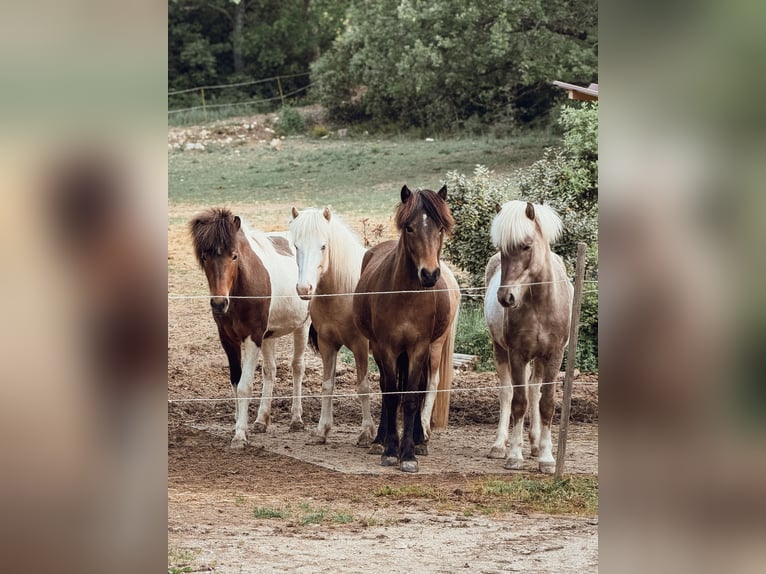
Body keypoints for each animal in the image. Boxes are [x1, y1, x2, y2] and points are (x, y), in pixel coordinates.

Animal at [189, 208, 310, 449]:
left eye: (234, 255)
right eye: (205, 256)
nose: (219, 303)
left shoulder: (252, 337)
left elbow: (245, 385)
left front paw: (239, 436)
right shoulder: (228, 339)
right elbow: (236, 383)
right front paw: (240, 424)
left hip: (302, 325)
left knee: (297, 367)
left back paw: (296, 419)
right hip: (269, 335)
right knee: (270, 370)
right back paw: (261, 421)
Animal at [287, 206, 375, 447]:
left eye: (323, 246)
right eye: (296, 246)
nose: (304, 288)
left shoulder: (360, 347)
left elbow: (363, 388)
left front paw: (366, 433)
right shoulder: (328, 345)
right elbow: (327, 386)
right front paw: (322, 430)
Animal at [352, 185, 459, 473]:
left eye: (440, 228)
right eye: (409, 228)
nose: (429, 274)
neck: (406, 296)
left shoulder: (418, 348)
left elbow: (411, 398)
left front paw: (409, 453)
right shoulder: (387, 348)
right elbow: (391, 395)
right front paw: (391, 450)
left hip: (432, 348)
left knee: (421, 389)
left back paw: (419, 440)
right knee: (385, 389)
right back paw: (381, 440)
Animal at [484, 200, 573, 473]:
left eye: (526, 246)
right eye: (502, 249)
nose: (506, 298)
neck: (539, 305)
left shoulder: (554, 355)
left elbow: (546, 404)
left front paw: (546, 458)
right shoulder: (517, 354)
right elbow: (518, 402)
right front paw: (514, 455)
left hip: (540, 359)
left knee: (535, 390)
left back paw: (534, 444)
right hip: (500, 350)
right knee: (507, 393)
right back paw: (499, 445)